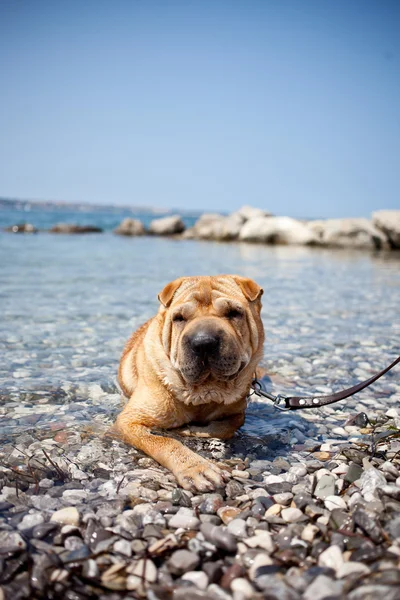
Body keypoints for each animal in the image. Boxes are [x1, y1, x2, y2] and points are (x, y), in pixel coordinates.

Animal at [115, 274, 264, 490]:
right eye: (179, 318)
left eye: (234, 313)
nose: (203, 342)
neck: (205, 391)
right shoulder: (129, 421)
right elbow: (165, 442)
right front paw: (197, 468)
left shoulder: (236, 411)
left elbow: (229, 425)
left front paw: (192, 430)